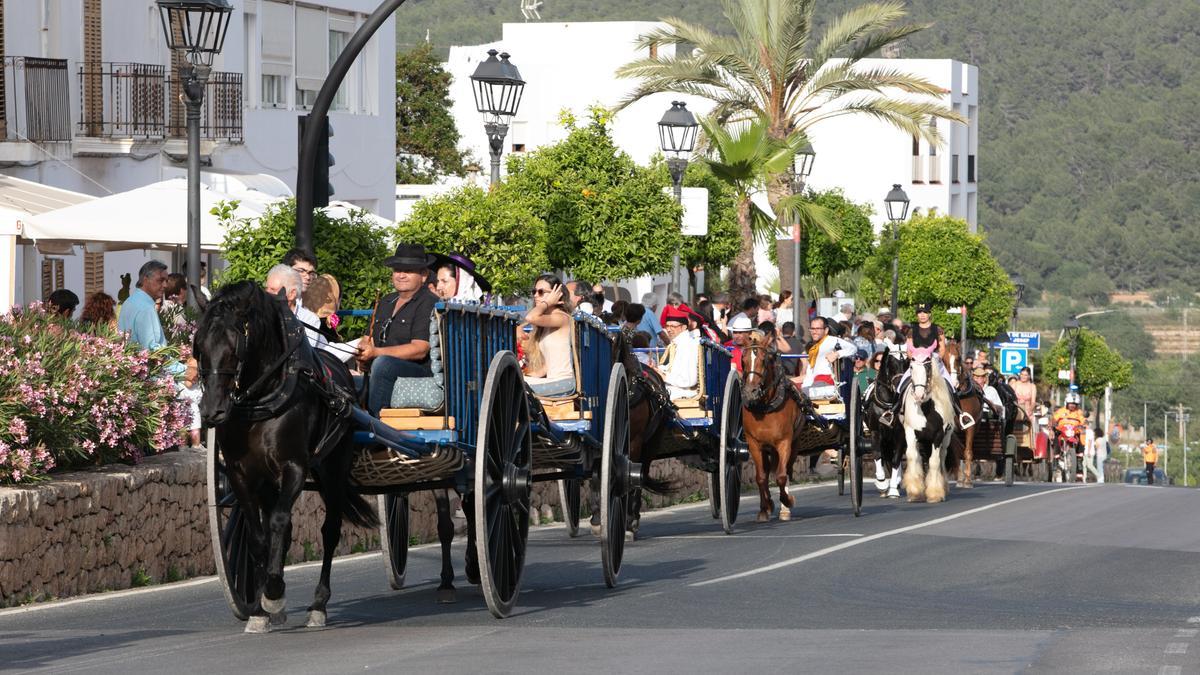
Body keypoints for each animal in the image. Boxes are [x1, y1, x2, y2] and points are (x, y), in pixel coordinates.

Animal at [194, 278, 376, 629]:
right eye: (198, 346)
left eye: (234, 345)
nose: (211, 411)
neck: (262, 399)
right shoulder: (240, 474)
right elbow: (258, 535)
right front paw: (259, 606)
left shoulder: (294, 467)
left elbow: (279, 521)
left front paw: (274, 592)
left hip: (333, 469)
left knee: (329, 530)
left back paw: (318, 604)